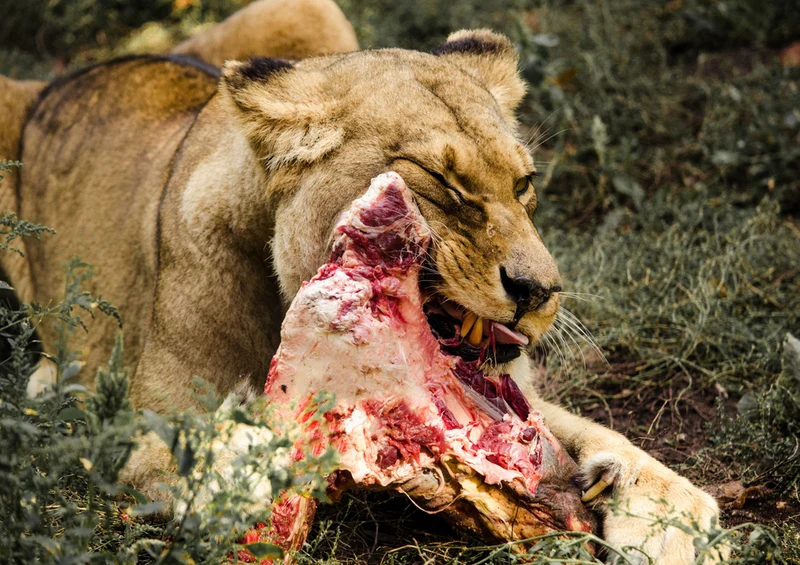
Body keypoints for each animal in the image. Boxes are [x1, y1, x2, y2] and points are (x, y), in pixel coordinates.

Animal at [1, 2, 720, 563]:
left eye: (523, 184)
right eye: (444, 183)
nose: (542, 292)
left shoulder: (510, 392)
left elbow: (596, 433)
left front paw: (668, 515)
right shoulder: (149, 425)